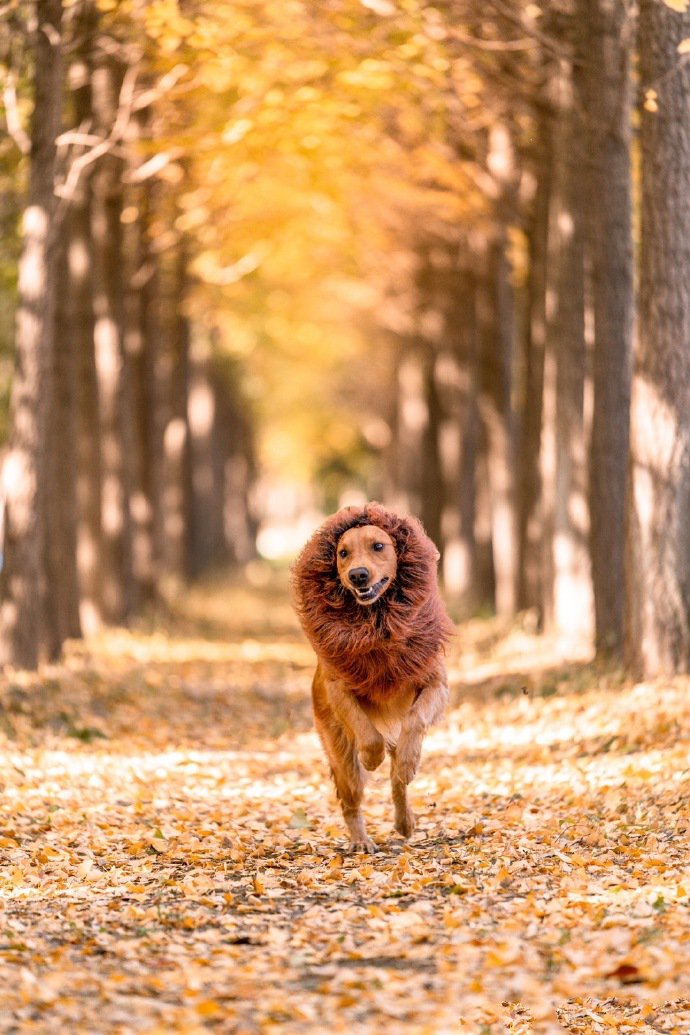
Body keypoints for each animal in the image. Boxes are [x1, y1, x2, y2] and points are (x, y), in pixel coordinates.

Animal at [289, 500, 453, 848]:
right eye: (343, 553)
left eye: (378, 546)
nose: (358, 575)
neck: (377, 622)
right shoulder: (338, 686)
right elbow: (366, 729)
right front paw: (371, 758)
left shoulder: (435, 681)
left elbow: (416, 719)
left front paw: (407, 762)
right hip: (340, 755)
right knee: (351, 800)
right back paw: (361, 840)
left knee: (398, 781)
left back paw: (405, 818)